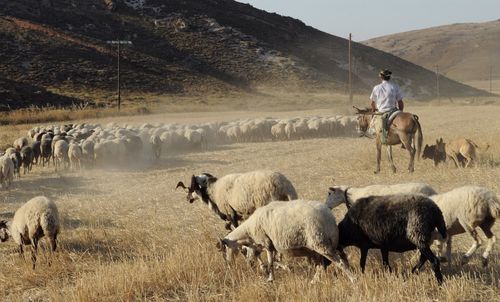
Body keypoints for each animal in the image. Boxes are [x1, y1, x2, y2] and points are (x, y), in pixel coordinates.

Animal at [219, 199, 356, 282]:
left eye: (224, 250)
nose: (229, 266)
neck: (248, 230)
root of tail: (329, 216)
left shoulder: (267, 242)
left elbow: (270, 262)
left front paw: (271, 278)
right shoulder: (268, 245)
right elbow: (273, 260)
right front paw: (283, 269)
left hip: (321, 243)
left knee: (339, 263)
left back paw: (353, 280)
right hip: (329, 243)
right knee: (327, 264)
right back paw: (314, 281)